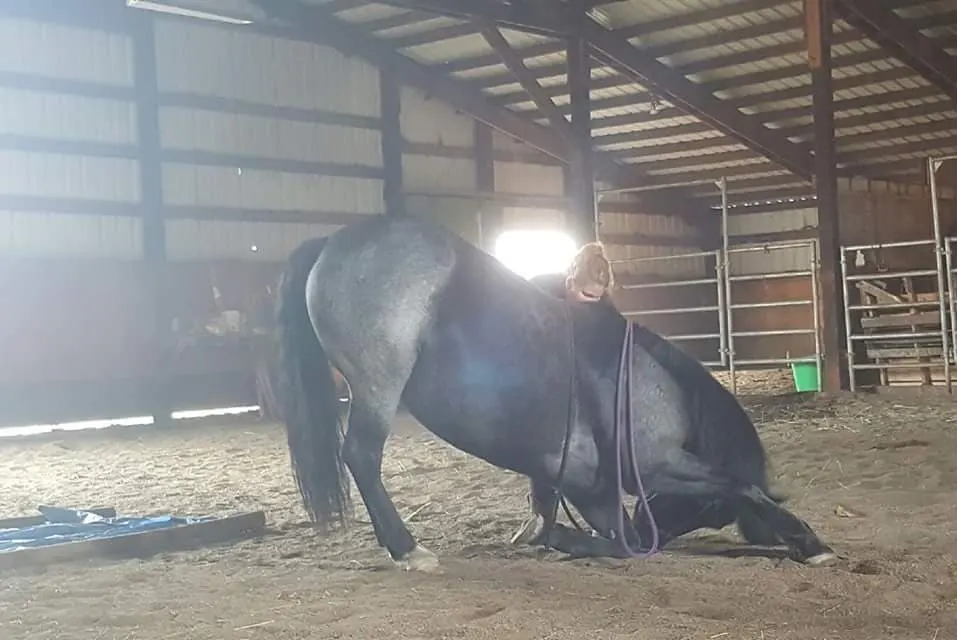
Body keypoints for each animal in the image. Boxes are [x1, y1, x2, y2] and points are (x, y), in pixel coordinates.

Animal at [272, 215, 832, 568]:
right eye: (708, 512)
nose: (652, 528)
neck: (650, 381)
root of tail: (331, 242)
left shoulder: (584, 484)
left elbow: (558, 504)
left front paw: (546, 534)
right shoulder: (656, 464)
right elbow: (737, 486)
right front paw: (809, 540)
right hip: (377, 385)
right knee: (361, 456)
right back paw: (407, 549)